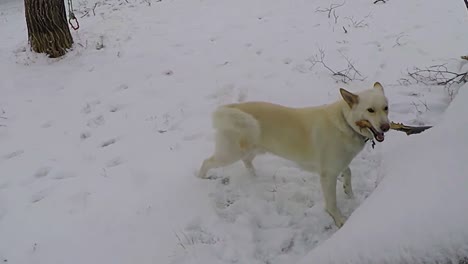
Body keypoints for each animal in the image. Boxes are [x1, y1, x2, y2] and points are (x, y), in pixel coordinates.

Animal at [198, 82, 392, 227]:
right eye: (370, 110)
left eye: (386, 108)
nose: (386, 127)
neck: (346, 122)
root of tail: (230, 107)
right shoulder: (328, 175)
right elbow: (332, 203)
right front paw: (339, 219)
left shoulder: (339, 164)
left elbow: (348, 173)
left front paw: (349, 192)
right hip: (229, 154)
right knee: (206, 162)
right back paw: (201, 179)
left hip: (253, 149)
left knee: (247, 161)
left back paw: (254, 176)